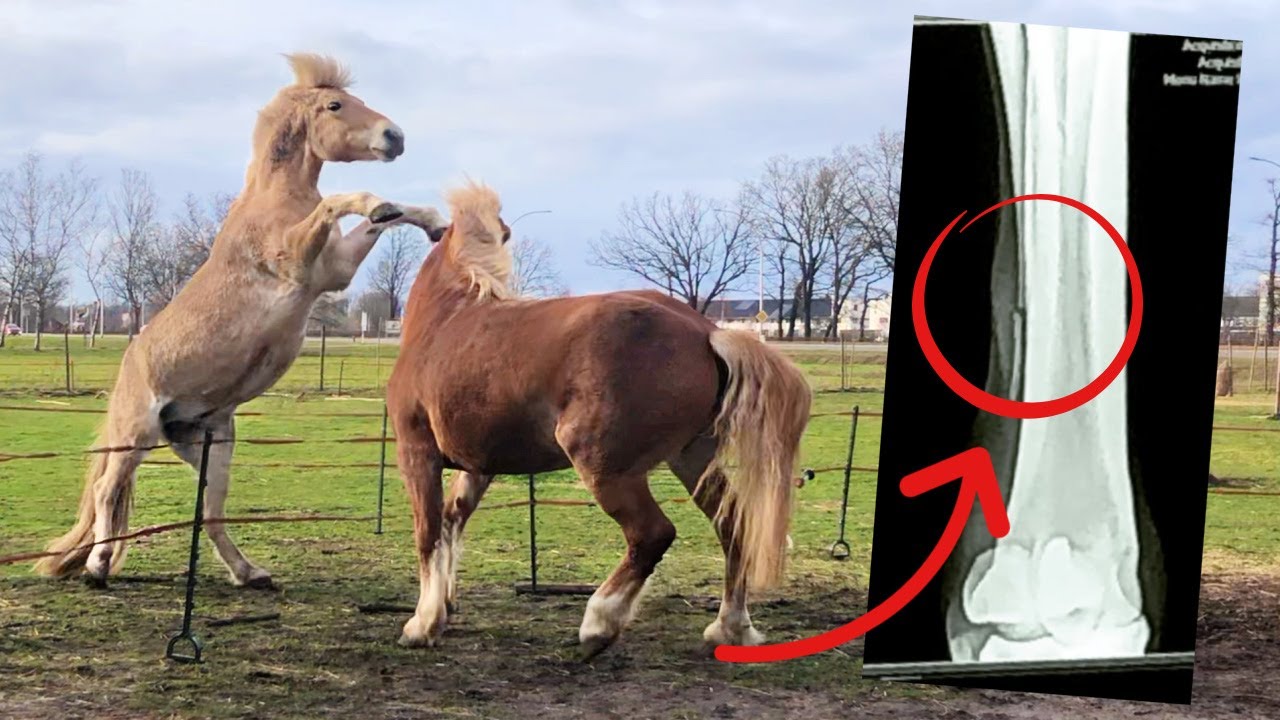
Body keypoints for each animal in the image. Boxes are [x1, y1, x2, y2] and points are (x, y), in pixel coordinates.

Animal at [35, 53, 449, 588]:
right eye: (336, 106)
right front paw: (378, 202)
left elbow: (387, 218)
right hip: (134, 435)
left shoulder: (334, 269)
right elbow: (341, 202)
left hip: (213, 446)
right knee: (108, 490)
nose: (394, 137)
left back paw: (250, 572)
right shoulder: (303, 263)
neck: (273, 206)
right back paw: (98, 566)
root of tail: (127, 368)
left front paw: (433, 222)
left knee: (210, 513)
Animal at [385, 182, 813, 657]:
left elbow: (428, 532)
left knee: (652, 534)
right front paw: (444, 606)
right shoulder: (479, 466)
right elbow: (452, 522)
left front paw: (422, 624)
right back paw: (730, 627)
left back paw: (599, 625)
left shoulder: (417, 452)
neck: (445, 319)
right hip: (692, 458)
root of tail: (707, 332)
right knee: (732, 525)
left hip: (606, 467)